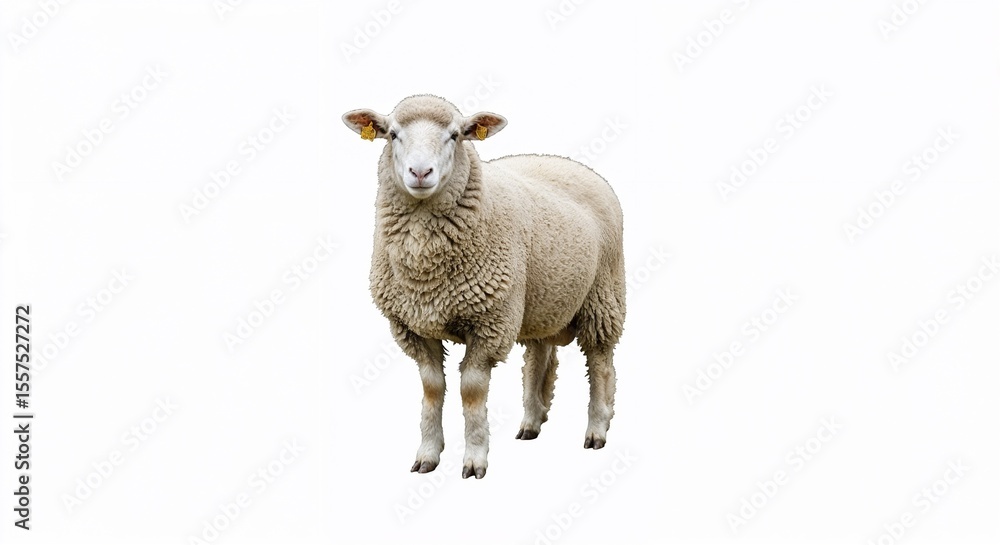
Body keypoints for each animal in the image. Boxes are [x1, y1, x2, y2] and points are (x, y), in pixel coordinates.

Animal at [342, 95, 625, 479]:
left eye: (455, 135)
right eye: (393, 134)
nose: (420, 173)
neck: (426, 269)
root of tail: (562, 161)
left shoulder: (490, 322)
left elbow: (472, 390)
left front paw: (475, 459)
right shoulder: (413, 326)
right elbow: (432, 388)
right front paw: (427, 454)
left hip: (602, 296)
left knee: (600, 363)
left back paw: (597, 429)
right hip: (537, 299)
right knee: (538, 356)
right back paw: (531, 422)